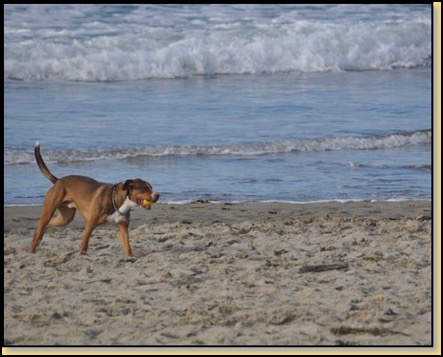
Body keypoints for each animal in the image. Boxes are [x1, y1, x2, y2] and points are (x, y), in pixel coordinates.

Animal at [29, 142, 160, 256]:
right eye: (144, 189)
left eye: (150, 187)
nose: (157, 195)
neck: (118, 202)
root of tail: (59, 181)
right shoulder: (90, 225)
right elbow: (84, 245)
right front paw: (83, 255)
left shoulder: (123, 228)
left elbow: (128, 247)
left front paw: (131, 258)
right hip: (48, 212)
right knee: (38, 231)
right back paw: (32, 251)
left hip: (65, 219)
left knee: (46, 226)